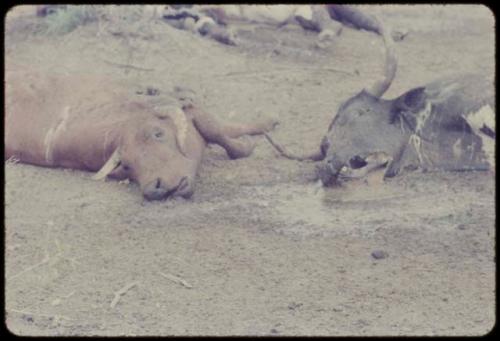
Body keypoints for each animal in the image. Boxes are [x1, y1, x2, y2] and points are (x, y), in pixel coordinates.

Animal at [4, 70, 278, 201]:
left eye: (158, 134)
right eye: (127, 165)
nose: (156, 188)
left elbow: (220, 130)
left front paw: (266, 124)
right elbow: (221, 131)